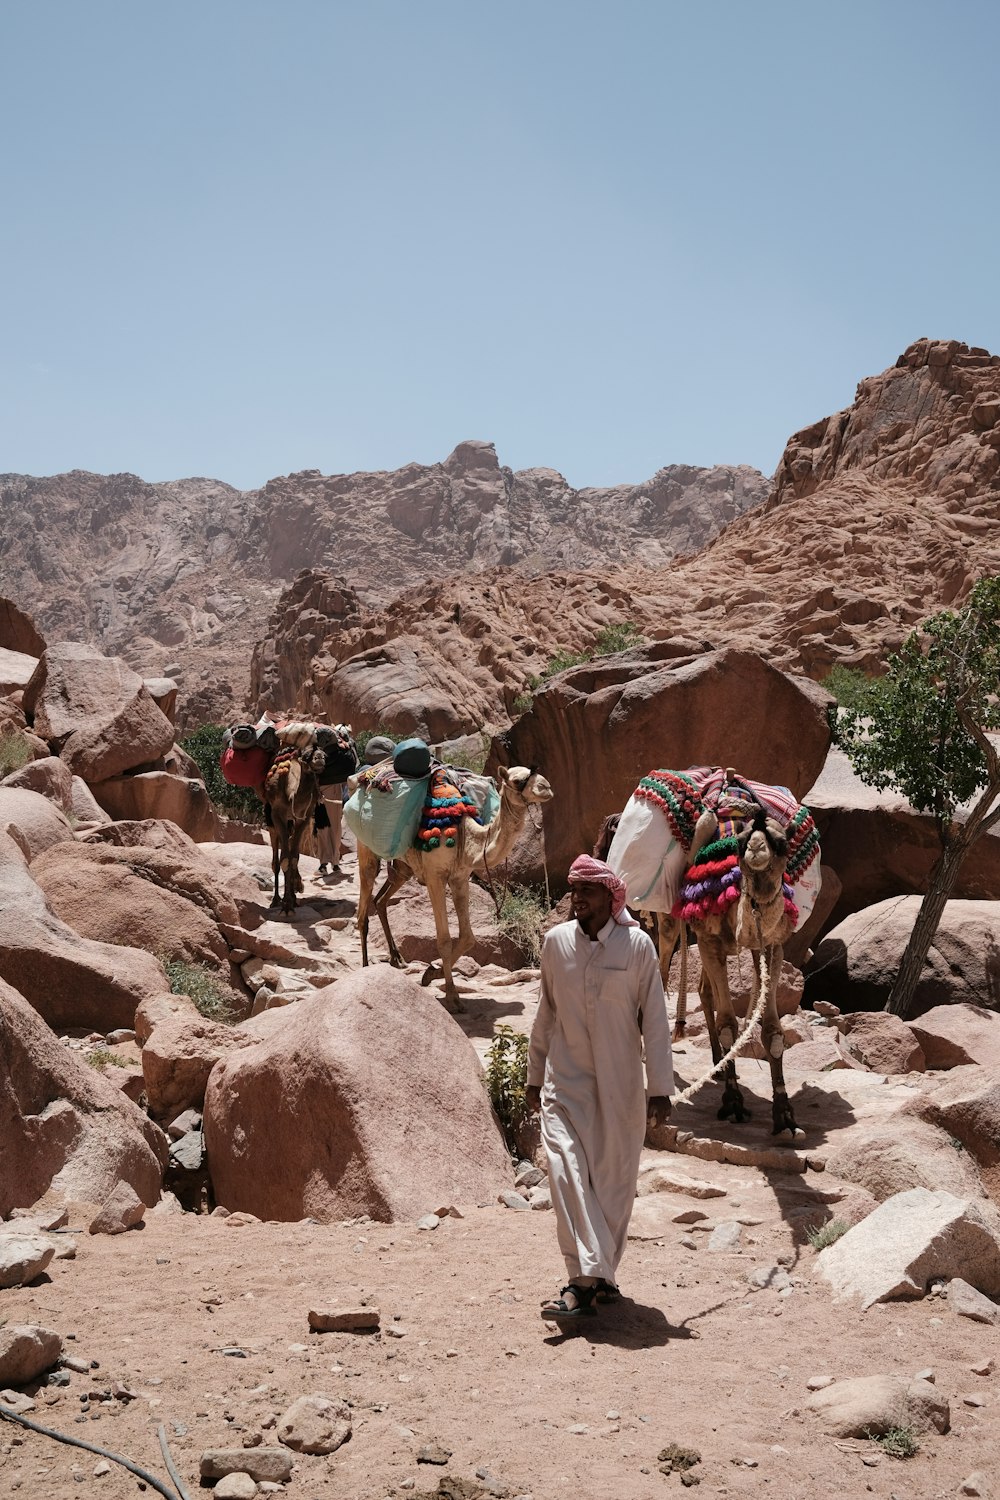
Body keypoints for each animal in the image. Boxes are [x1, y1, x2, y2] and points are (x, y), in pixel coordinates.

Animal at [263, 747, 322, 912]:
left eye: (324, 752)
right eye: (307, 755)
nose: (320, 757)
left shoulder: (304, 817)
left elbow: (294, 858)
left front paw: (291, 901)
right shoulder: (276, 815)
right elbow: (284, 860)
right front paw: (286, 906)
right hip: (271, 821)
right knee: (275, 861)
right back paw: (276, 900)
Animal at [358, 768, 554, 1014]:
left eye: (535, 772)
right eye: (518, 780)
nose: (547, 788)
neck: (466, 839)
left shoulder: (460, 877)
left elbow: (468, 937)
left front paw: (430, 973)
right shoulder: (435, 877)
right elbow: (443, 940)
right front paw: (452, 997)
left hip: (404, 867)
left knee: (381, 900)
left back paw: (397, 959)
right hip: (367, 849)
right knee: (363, 907)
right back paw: (365, 967)